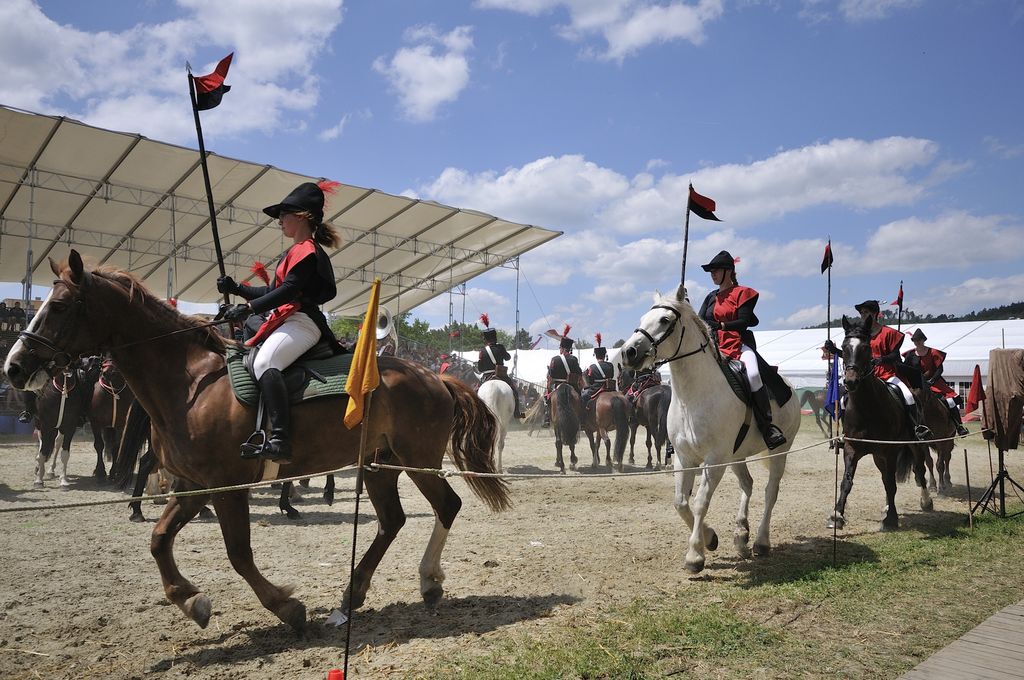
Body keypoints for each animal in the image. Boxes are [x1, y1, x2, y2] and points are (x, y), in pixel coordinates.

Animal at [3, 250, 507, 630]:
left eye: (61, 306)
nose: (14, 367)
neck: (190, 383)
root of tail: (434, 377)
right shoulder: (194, 486)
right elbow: (159, 540)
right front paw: (190, 600)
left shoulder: (227, 488)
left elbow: (239, 554)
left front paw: (287, 608)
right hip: (380, 464)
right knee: (392, 521)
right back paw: (352, 596)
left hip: (415, 459)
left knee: (445, 506)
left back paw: (427, 581)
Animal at [614, 284, 798, 573]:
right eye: (643, 318)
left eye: (665, 320)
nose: (628, 353)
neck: (694, 396)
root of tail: (789, 386)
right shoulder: (684, 458)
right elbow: (680, 502)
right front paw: (710, 538)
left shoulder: (714, 460)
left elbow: (700, 502)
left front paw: (695, 555)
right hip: (736, 456)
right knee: (747, 484)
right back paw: (741, 534)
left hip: (780, 450)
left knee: (770, 492)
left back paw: (760, 541)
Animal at [827, 315, 933, 532]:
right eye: (844, 347)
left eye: (866, 348)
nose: (850, 382)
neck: (867, 406)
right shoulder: (852, 448)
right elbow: (846, 482)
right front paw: (837, 515)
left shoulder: (889, 450)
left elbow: (891, 483)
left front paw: (891, 519)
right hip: (877, 456)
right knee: (886, 475)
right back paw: (886, 506)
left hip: (913, 445)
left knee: (919, 470)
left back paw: (925, 501)